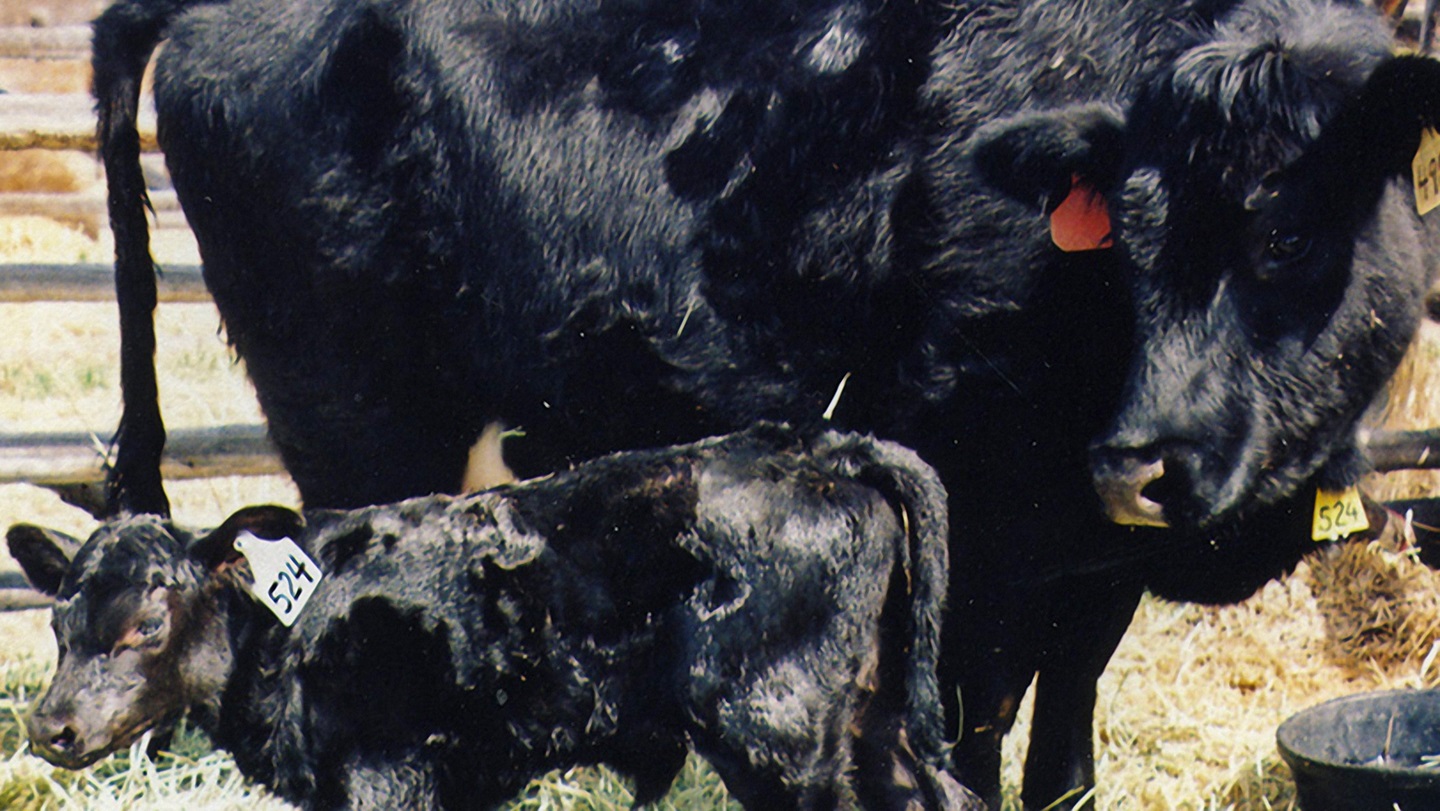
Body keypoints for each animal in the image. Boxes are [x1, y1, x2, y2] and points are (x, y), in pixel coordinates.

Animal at [10, 426, 979, 810]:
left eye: (146, 627)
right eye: (60, 625)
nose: (50, 727)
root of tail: (821, 445)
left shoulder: (384, 775)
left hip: (780, 735)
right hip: (874, 716)